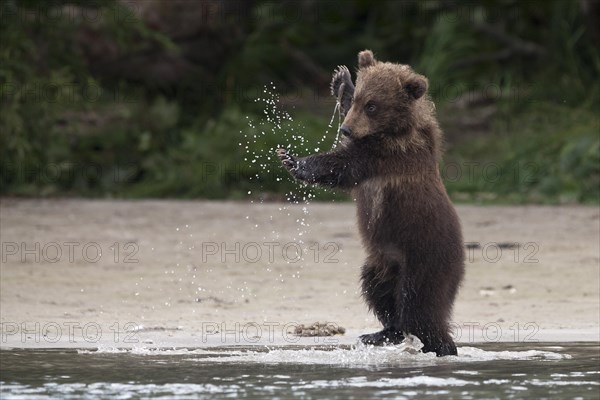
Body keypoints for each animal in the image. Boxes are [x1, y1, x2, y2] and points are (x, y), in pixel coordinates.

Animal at [276, 50, 464, 356]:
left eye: (373, 106)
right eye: (361, 100)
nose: (345, 130)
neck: (392, 130)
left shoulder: (388, 156)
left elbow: (343, 164)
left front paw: (293, 160)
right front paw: (341, 80)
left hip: (424, 256)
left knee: (419, 306)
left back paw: (440, 345)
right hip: (383, 261)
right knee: (378, 290)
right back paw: (381, 333)